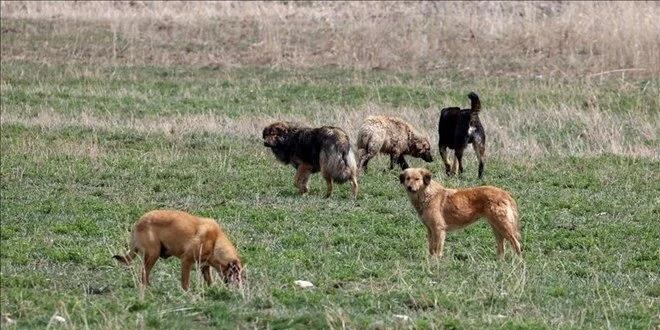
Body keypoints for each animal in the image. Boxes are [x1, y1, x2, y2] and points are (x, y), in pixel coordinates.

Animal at [113, 210, 242, 290]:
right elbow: (185, 282)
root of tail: (138, 222)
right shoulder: (186, 261)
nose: (240, 287)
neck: (215, 241)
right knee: (143, 273)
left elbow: (209, 281)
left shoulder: (204, 266)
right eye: (236, 273)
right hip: (153, 254)